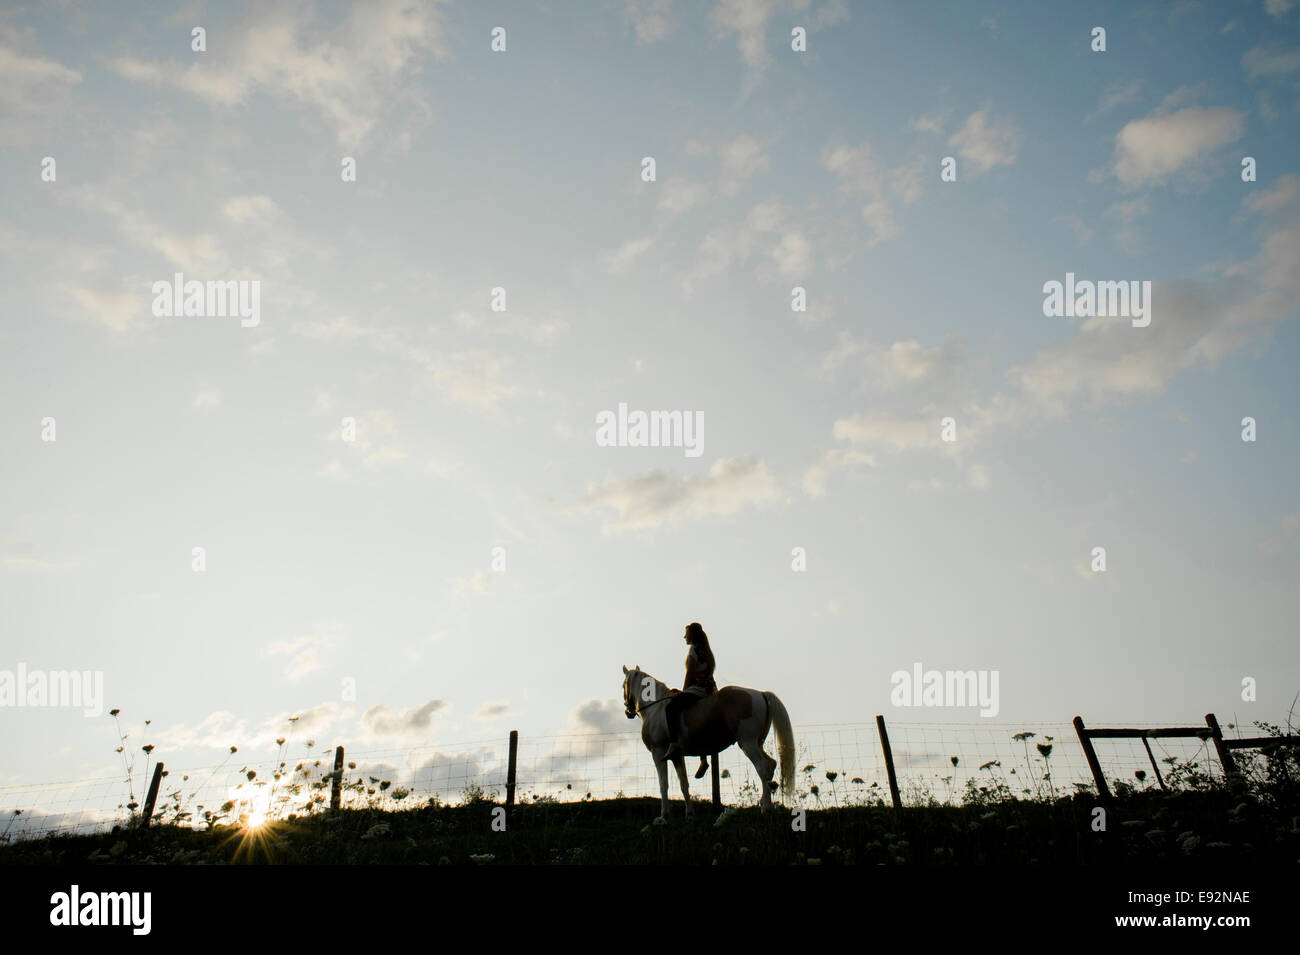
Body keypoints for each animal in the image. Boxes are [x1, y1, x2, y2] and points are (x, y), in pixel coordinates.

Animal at [618, 665, 790, 821]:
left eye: (623, 685)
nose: (628, 712)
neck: (655, 708)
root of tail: (760, 694)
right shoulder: (677, 756)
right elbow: (684, 783)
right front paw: (689, 813)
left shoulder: (658, 752)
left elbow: (663, 784)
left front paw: (664, 815)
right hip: (757, 743)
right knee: (771, 765)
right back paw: (765, 803)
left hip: (748, 743)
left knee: (762, 767)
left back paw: (766, 807)